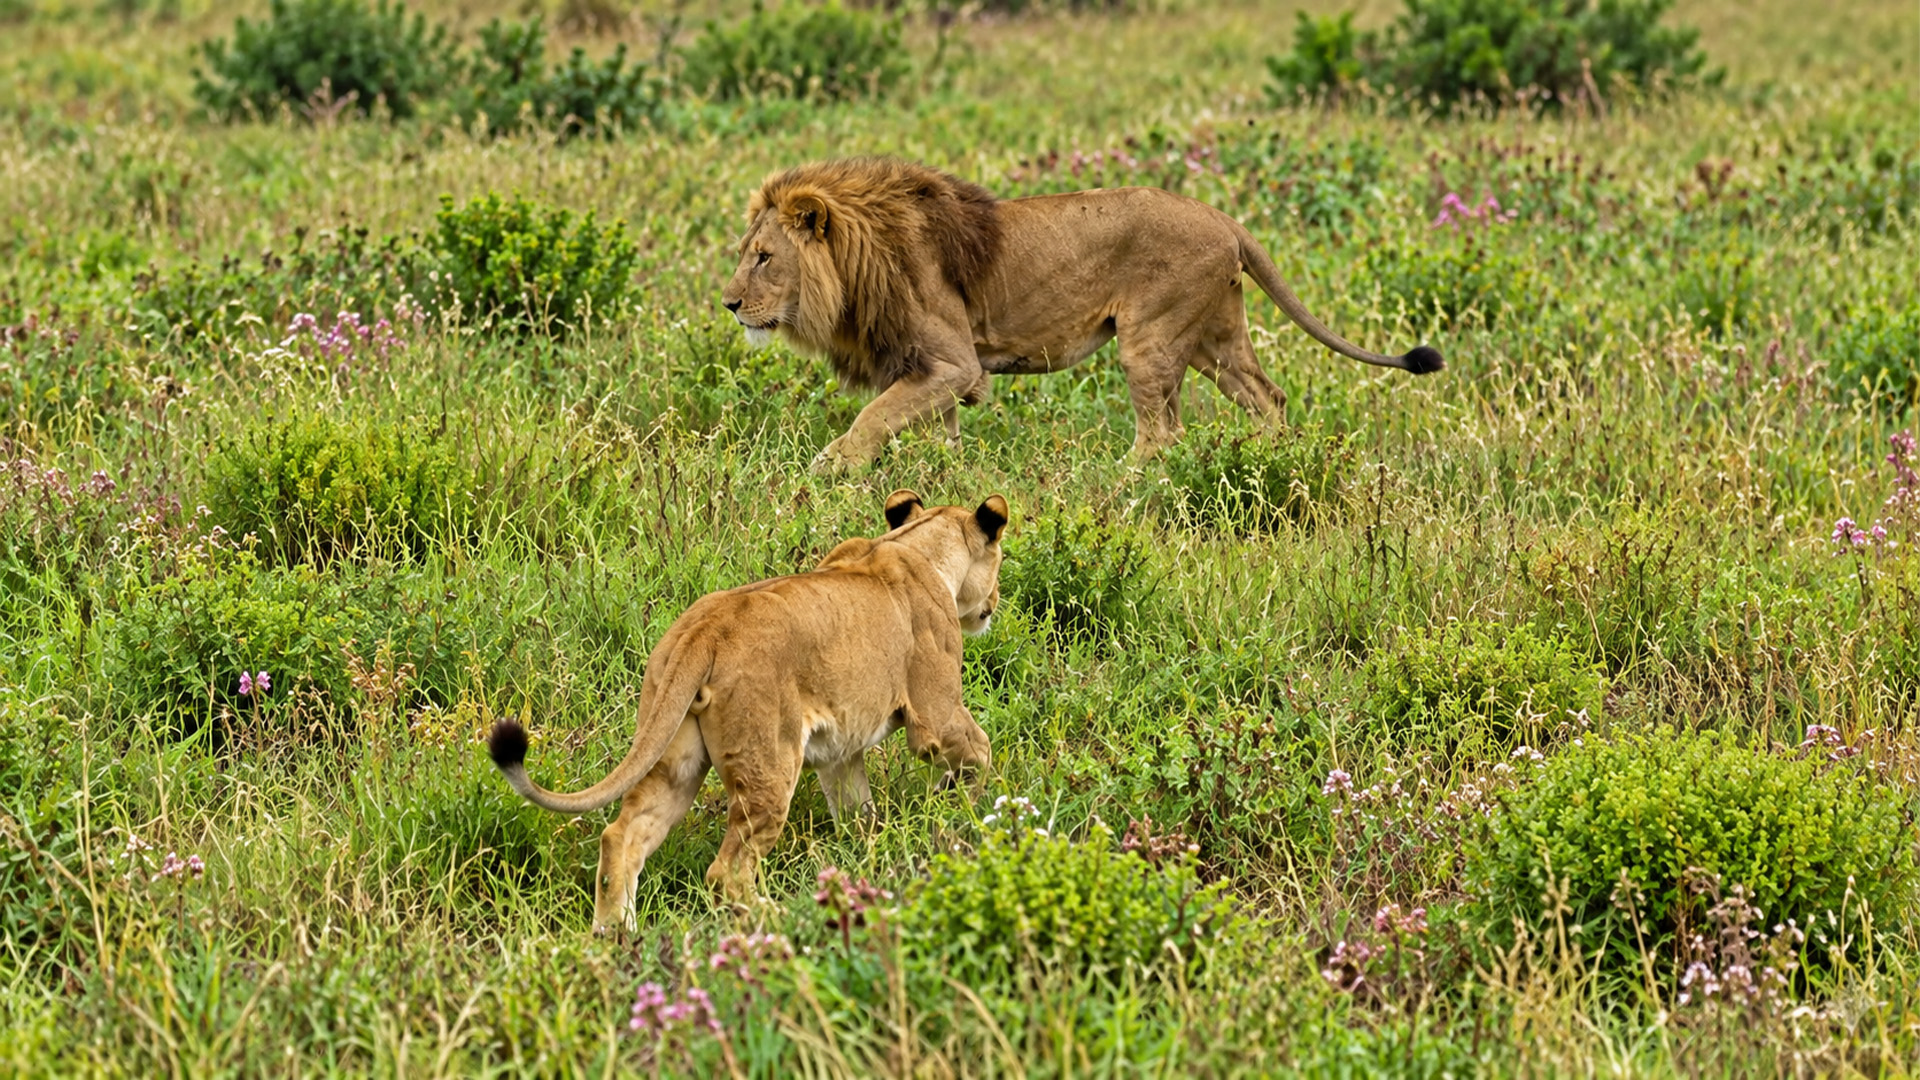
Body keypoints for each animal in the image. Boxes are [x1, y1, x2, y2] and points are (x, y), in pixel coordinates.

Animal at [487, 489, 1007, 932]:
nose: (995, 602)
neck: (917, 544)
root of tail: (706, 628)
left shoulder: (840, 752)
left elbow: (859, 812)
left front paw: (873, 850)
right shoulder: (935, 713)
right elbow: (980, 752)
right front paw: (966, 809)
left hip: (673, 754)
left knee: (622, 836)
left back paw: (618, 937)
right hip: (769, 762)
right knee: (727, 872)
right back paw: (784, 920)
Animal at [719, 156, 1443, 471]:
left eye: (763, 257)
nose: (728, 304)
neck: (859, 262)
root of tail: (1223, 219)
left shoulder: (953, 363)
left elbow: (871, 418)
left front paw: (828, 471)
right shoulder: (929, 369)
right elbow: (934, 434)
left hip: (1149, 337)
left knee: (1161, 433)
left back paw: (1122, 485)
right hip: (1212, 338)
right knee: (1268, 396)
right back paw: (1269, 463)